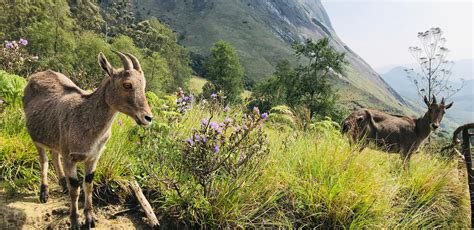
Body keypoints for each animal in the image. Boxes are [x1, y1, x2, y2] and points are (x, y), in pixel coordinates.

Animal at [22, 51, 153, 229]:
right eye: (127, 84)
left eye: (143, 85)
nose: (148, 117)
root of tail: (35, 76)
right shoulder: (70, 157)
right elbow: (75, 189)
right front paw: (74, 221)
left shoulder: (93, 157)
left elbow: (88, 185)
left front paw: (90, 218)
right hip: (36, 138)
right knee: (44, 160)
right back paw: (44, 193)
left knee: (54, 154)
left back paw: (62, 183)